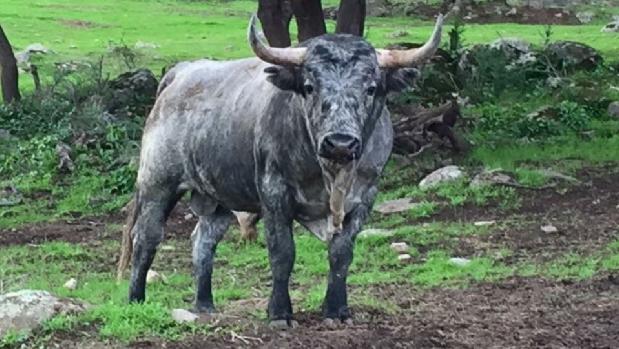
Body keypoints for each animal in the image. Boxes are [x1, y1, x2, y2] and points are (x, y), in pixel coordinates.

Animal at [117, 14, 446, 326]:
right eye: (310, 87)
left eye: (371, 88)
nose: (340, 143)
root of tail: (181, 73)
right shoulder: (275, 193)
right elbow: (282, 253)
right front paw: (279, 312)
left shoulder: (365, 197)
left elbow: (341, 255)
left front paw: (337, 310)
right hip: (158, 183)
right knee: (145, 238)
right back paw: (136, 300)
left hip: (218, 198)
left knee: (203, 241)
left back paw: (205, 304)